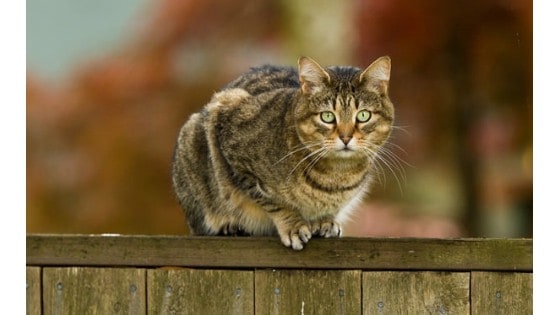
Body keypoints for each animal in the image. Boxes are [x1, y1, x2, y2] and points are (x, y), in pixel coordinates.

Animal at [171, 55, 394, 251]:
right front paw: (293, 225)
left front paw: (325, 221)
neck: (336, 176)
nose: (346, 137)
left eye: (363, 116)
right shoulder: (233, 149)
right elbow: (273, 201)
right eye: (327, 116)